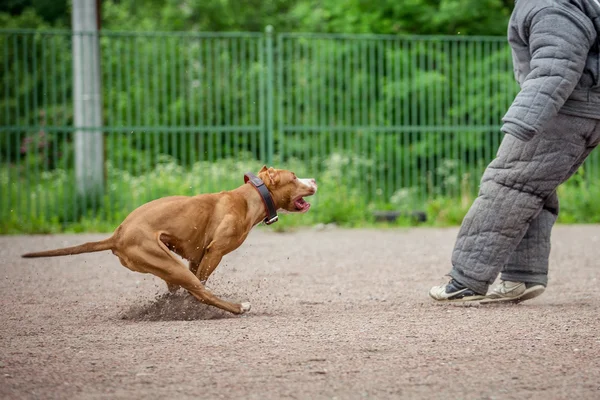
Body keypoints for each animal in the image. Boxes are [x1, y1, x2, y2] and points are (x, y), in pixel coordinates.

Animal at [21, 166, 316, 316]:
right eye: (294, 178)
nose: (313, 178)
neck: (249, 198)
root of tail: (117, 234)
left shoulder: (197, 256)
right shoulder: (215, 252)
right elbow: (201, 283)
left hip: (164, 262)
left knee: (180, 286)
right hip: (166, 260)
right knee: (200, 292)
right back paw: (237, 307)